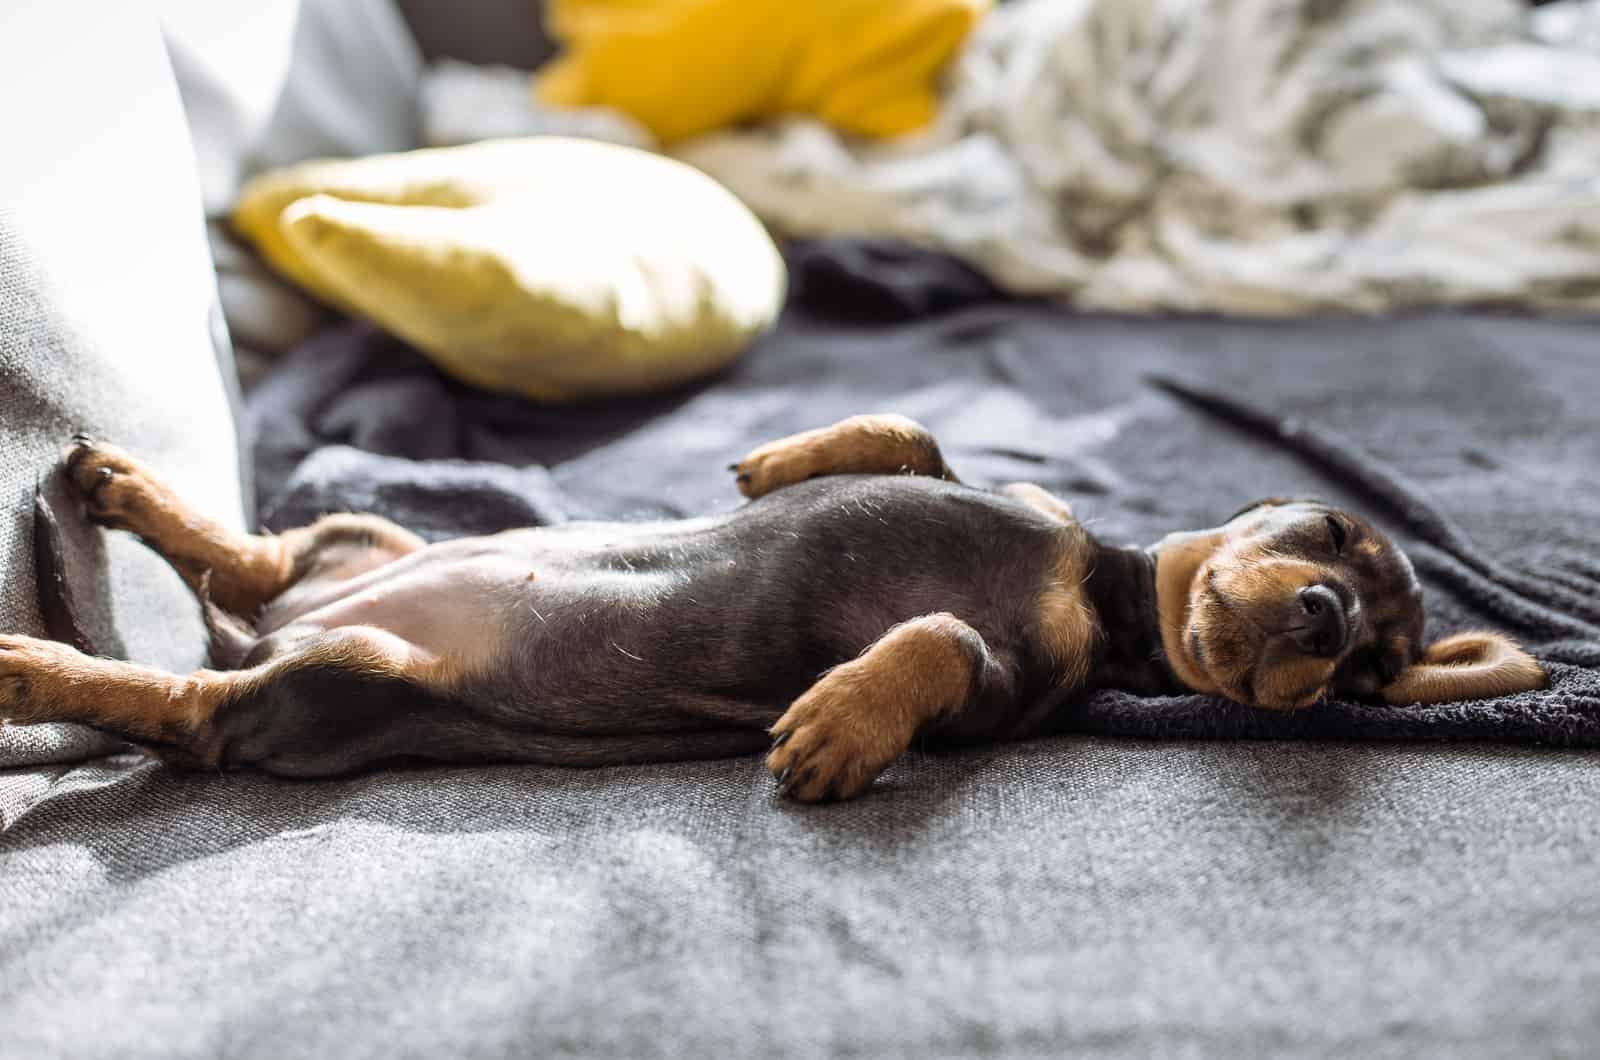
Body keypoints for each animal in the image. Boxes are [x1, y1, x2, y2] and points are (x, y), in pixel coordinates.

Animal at [3, 416, 1548, 807]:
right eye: (1332, 534)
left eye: (1377, 672)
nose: (1329, 623)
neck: (1099, 593)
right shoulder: (995, 500)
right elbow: (912, 443)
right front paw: (778, 461)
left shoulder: (1004, 696)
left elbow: (941, 637)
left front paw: (841, 725)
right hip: (358, 545)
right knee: (259, 557)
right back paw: (123, 485)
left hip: (331, 680)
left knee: (187, 702)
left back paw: (31, 666)